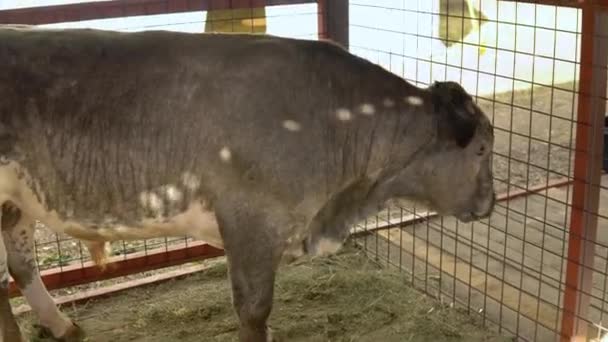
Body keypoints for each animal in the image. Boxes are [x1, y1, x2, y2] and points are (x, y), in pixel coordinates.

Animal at [0, 26, 494, 342]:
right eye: (482, 150)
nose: (489, 202)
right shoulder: (250, 221)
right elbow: (254, 311)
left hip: (16, 205)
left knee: (21, 268)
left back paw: (62, 327)